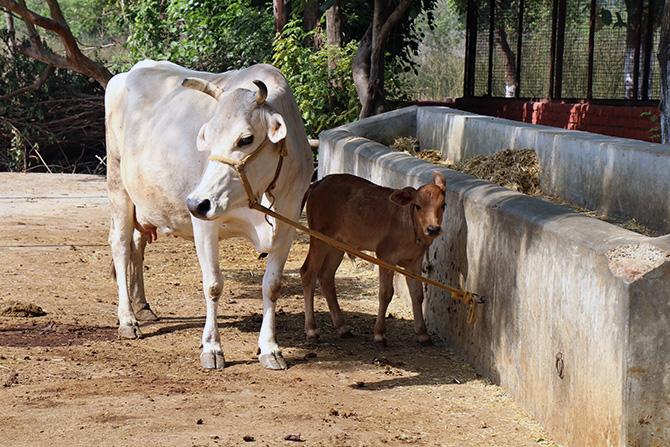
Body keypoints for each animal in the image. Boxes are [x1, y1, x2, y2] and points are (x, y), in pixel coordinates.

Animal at [105, 59, 316, 372]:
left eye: (246, 138)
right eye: (208, 136)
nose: (195, 202)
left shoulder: (288, 222)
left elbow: (272, 285)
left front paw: (270, 348)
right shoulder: (204, 222)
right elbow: (214, 284)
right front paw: (212, 348)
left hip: (145, 203)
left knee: (137, 244)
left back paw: (142, 306)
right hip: (118, 186)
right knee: (120, 246)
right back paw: (128, 319)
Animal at [302, 172, 448, 346]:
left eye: (443, 205)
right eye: (418, 205)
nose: (433, 229)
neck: (409, 225)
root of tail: (317, 183)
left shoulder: (414, 261)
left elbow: (417, 294)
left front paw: (423, 334)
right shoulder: (385, 256)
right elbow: (385, 293)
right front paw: (379, 334)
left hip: (336, 245)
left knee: (326, 276)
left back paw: (342, 327)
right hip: (319, 239)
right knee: (308, 273)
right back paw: (312, 330)